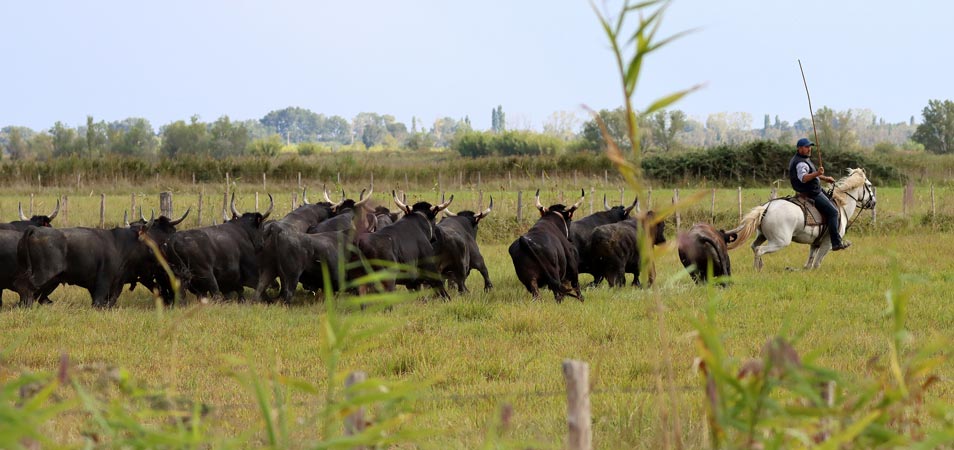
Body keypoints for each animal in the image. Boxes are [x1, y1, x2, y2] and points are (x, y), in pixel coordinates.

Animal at [724, 166, 872, 268]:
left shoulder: (815, 243)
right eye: (869, 185)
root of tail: (766, 208)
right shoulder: (827, 243)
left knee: (754, 247)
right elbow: (817, 264)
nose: (873, 202)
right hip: (780, 241)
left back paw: (760, 266)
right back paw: (757, 269)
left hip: (762, 235)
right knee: (760, 250)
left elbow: (809, 263)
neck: (841, 204)